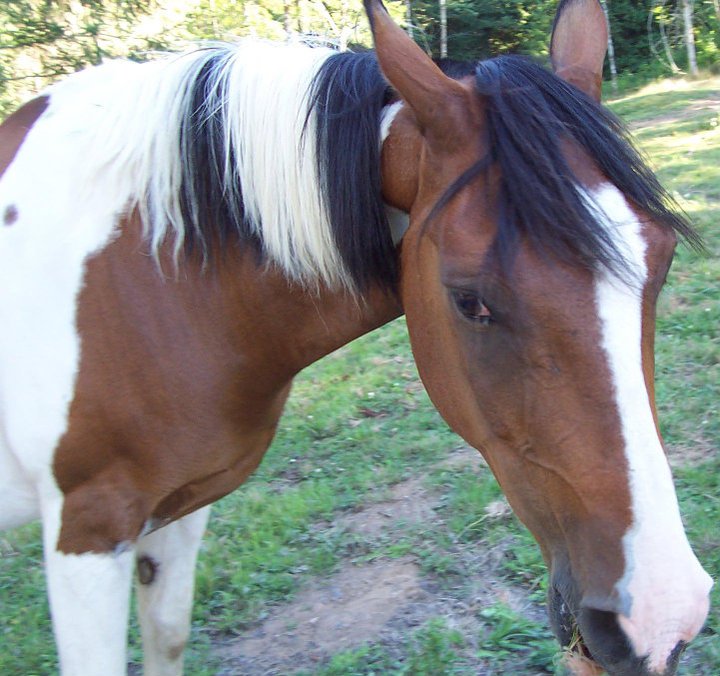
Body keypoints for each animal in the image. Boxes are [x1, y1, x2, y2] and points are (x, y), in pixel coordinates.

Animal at [0, 0, 712, 673]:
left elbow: (168, 636)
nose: (659, 620)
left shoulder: (176, 508)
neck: (153, 273)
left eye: (663, 260)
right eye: (469, 300)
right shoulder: (89, 528)